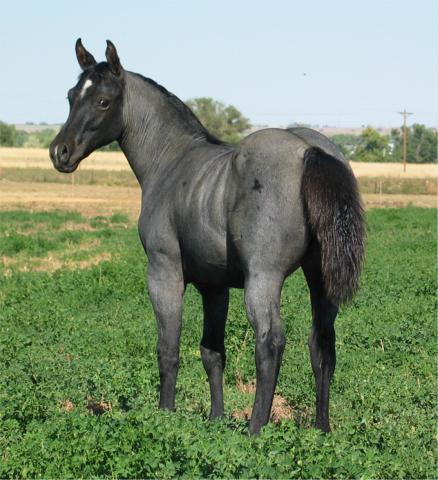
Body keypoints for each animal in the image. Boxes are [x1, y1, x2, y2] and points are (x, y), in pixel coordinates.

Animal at [49, 40, 366, 436]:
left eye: (104, 101)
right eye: (70, 96)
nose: (59, 152)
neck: (170, 162)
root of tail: (312, 151)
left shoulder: (164, 272)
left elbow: (168, 349)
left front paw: (164, 416)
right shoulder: (214, 286)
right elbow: (212, 352)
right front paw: (216, 419)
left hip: (263, 277)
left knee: (270, 341)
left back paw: (255, 428)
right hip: (319, 277)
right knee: (321, 343)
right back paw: (321, 429)